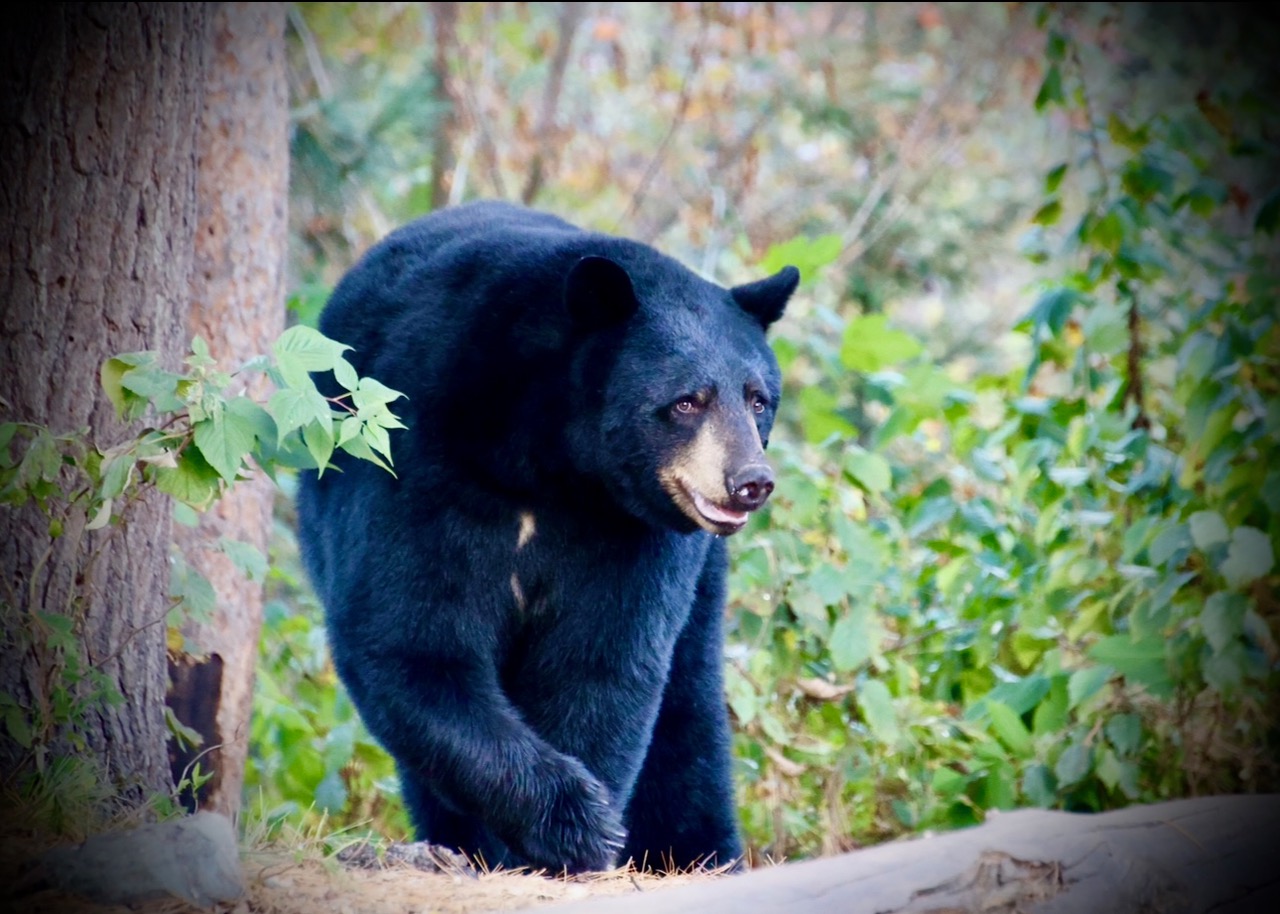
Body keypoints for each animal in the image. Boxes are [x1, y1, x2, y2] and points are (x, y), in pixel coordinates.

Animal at [296, 200, 798, 874]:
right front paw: (576, 823)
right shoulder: (417, 457)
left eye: (758, 400)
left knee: (687, 705)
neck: (550, 461)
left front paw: (581, 834)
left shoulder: (634, 532)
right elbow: (413, 642)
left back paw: (698, 850)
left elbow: (602, 663)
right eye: (687, 402)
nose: (750, 481)